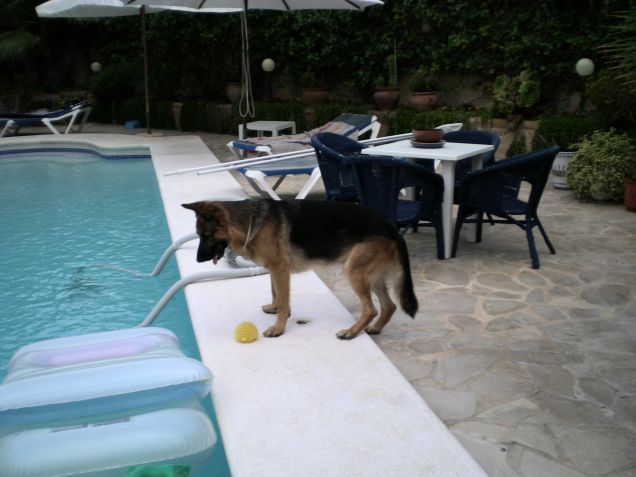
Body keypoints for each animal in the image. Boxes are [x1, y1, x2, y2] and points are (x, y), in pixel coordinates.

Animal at [181, 197, 418, 338]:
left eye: (206, 235)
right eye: (199, 235)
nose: (198, 260)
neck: (249, 222)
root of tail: (390, 226)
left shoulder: (280, 269)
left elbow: (283, 299)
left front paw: (279, 327)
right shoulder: (274, 270)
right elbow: (275, 293)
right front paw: (275, 309)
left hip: (354, 272)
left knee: (371, 309)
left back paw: (351, 332)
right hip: (373, 278)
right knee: (389, 306)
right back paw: (375, 328)